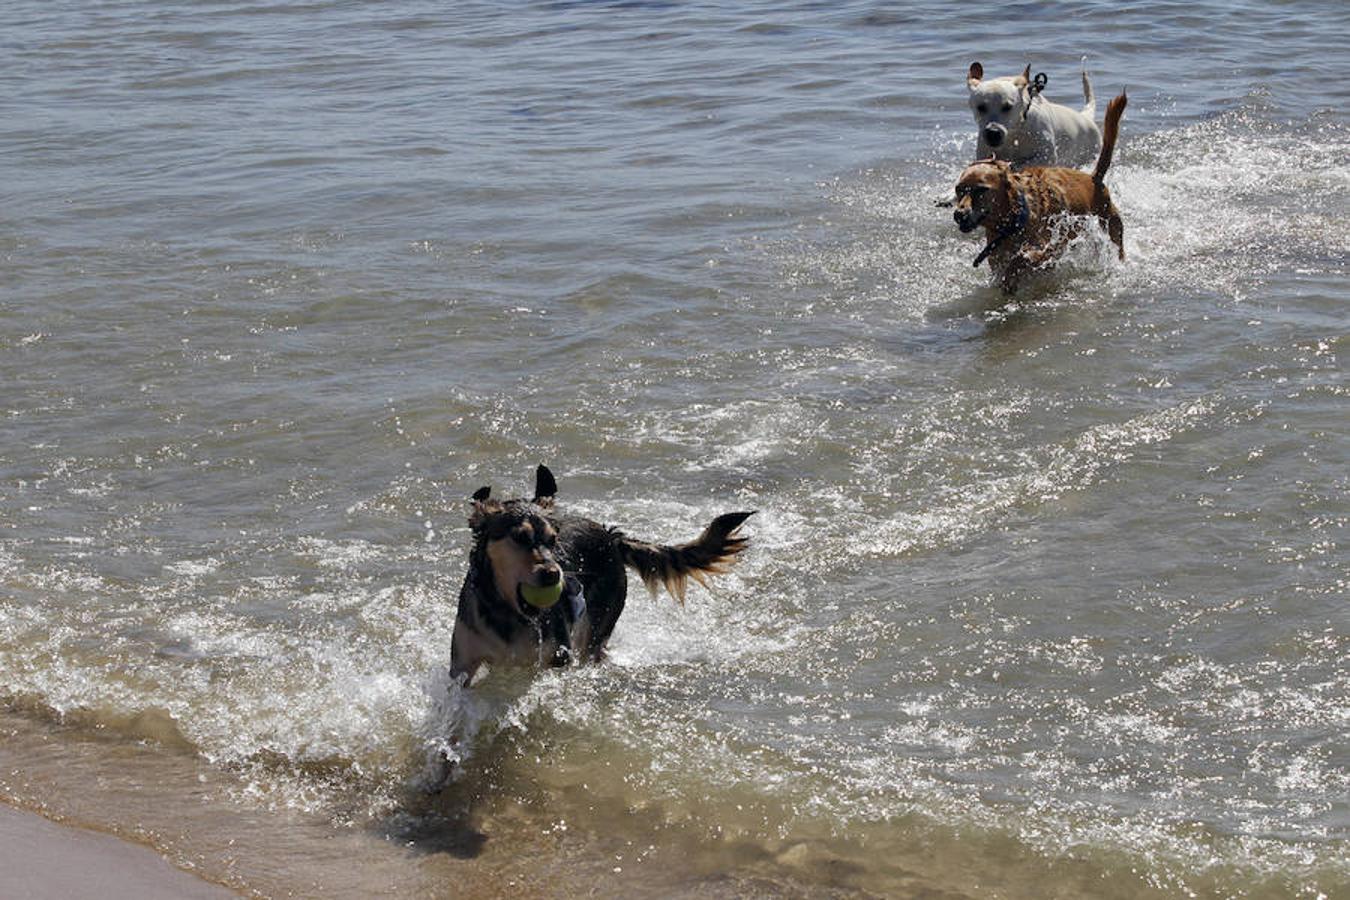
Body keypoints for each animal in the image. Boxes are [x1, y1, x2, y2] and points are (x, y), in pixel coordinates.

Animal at [450, 464, 750, 682]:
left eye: (552, 540)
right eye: (520, 538)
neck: (507, 612)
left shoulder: (556, 659)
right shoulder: (462, 665)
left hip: (597, 629)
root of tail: (611, 537)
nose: (554, 575)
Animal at [955, 90, 1134, 292]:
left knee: (1118, 245)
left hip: (1112, 222)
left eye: (981, 190)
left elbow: (1023, 258)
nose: (958, 214)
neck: (1013, 221)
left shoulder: (1049, 247)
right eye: (958, 190)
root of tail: (1093, 177)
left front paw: (1015, 270)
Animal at [966, 62, 1101, 171]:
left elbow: (1022, 164)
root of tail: (1085, 116)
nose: (993, 133)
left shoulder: (1047, 156)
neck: (1015, 132)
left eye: (1008, 107)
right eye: (981, 107)